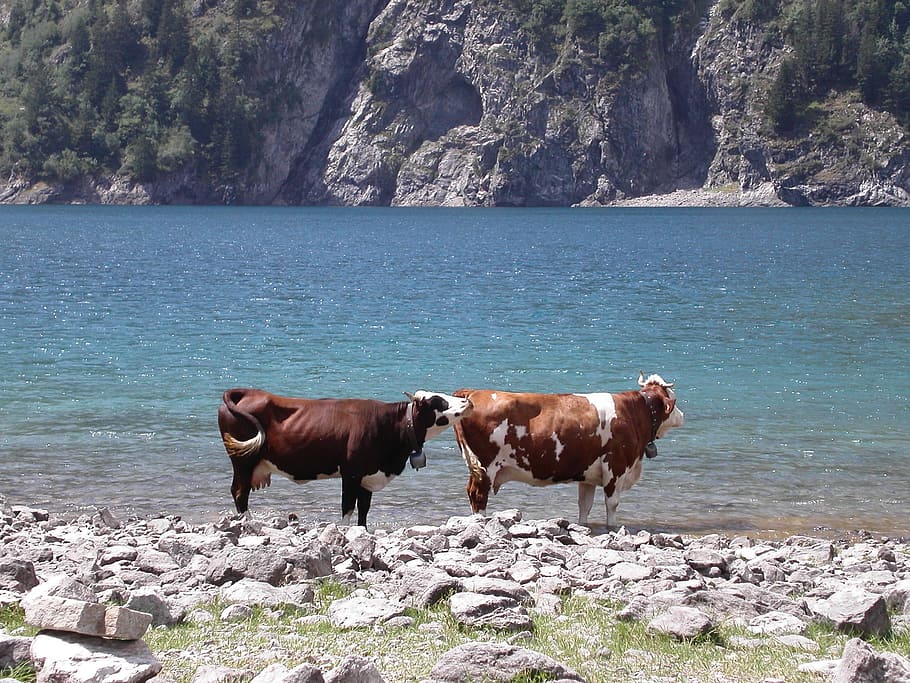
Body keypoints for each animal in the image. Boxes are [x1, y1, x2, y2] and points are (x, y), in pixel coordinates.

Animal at [218, 388, 473, 526]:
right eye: (437, 401)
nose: (467, 400)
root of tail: (248, 392)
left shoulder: (368, 476)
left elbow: (364, 509)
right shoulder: (351, 473)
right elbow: (348, 508)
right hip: (243, 461)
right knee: (239, 492)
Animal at [451, 372, 684, 527]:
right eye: (674, 399)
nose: (682, 415)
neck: (633, 413)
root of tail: (473, 393)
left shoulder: (589, 475)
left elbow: (585, 505)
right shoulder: (615, 468)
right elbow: (612, 504)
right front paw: (613, 527)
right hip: (486, 468)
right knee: (478, 495)